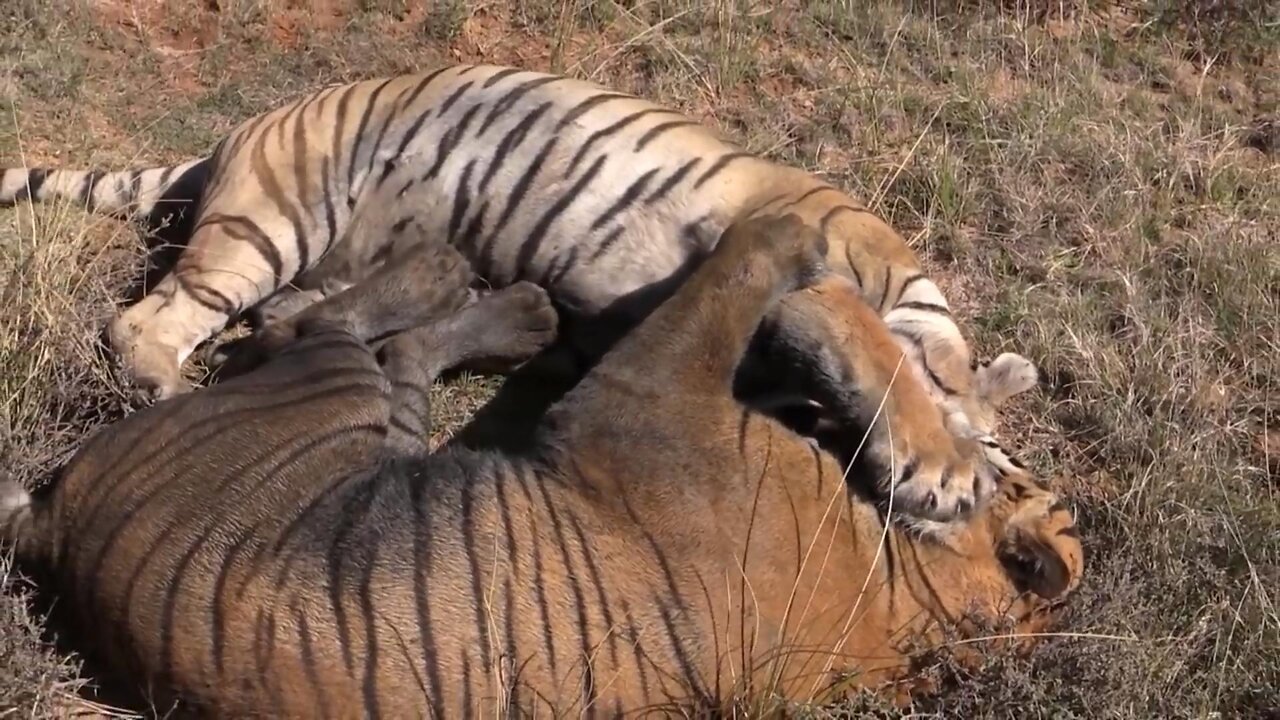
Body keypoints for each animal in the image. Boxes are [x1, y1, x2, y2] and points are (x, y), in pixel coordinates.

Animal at [0, 61, 1039, 520]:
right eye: (1000, 450)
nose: (1004, 485)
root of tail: (233, 136)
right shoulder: (815, 270)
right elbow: (881, 356)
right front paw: (941, 467)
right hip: (270, 222)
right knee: (143, 321)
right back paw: (169, 393)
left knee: (281, 321)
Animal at [0, 213, 1085, 717]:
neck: (907, 595)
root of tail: (46, 524)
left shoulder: (650, 384)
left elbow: (742, 259)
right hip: (387, 430)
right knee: (383, 343)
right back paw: (508, 306)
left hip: (326, 399)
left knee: (325, 325)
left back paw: (473, 285)